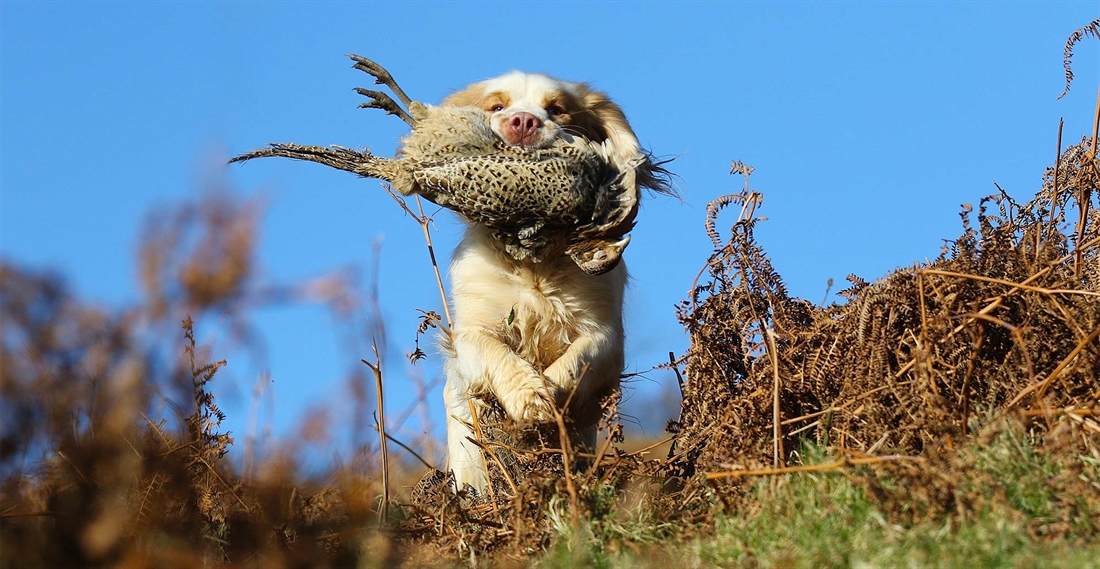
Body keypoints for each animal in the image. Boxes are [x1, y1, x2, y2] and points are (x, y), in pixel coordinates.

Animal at [437, 69, 660, 488]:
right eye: (497, 106)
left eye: (557, 109)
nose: (523, 122)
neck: (534, 260)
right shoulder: (471, 332)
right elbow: (495, 352)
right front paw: (530, 397)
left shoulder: (606, 335)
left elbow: (577, 361)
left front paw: (549, 397)